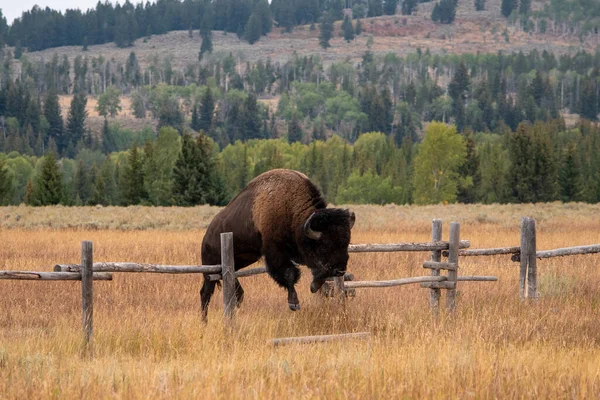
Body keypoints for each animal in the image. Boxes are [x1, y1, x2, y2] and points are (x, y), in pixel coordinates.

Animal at [199, 168, 354, 318]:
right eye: (324, 246)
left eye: (346, 243)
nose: (340, 270)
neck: (289, 207)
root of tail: (206, 237)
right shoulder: (275, 251)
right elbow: (289, 273)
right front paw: (294, 303)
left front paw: (314, 286)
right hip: (210, 268)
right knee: (206, 292)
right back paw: (204, 321)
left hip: (233, 265)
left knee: (237, 291)